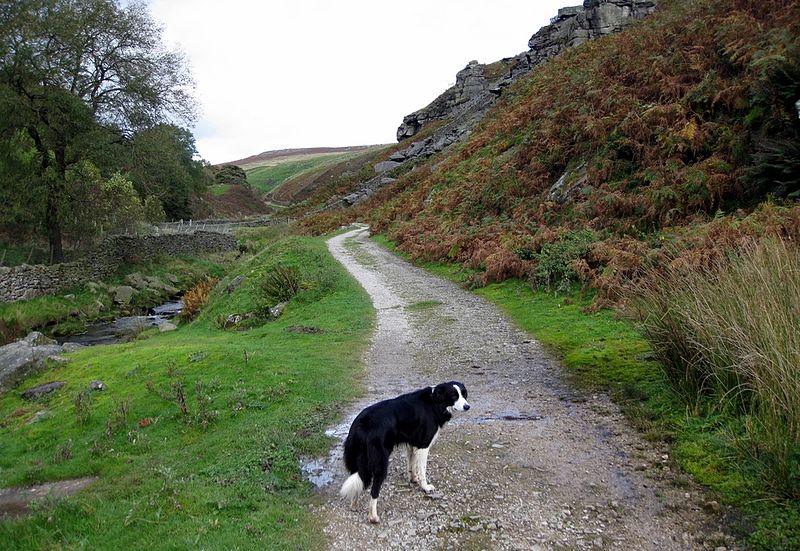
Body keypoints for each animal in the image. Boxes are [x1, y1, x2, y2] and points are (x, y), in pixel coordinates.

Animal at [338, 382, 468, 524]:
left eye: (464, 394)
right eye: (454, 396)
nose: (467, 407)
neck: (435, 401)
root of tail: (360, 425)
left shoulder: (412, 444)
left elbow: (411, 465)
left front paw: (413, 480)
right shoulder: (423, 445)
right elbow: (422, 470)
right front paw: (425, 487)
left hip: (356, 459)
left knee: (358, 480)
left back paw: (354, 505)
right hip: (380, 462)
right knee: (374, 489)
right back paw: (373, 516)